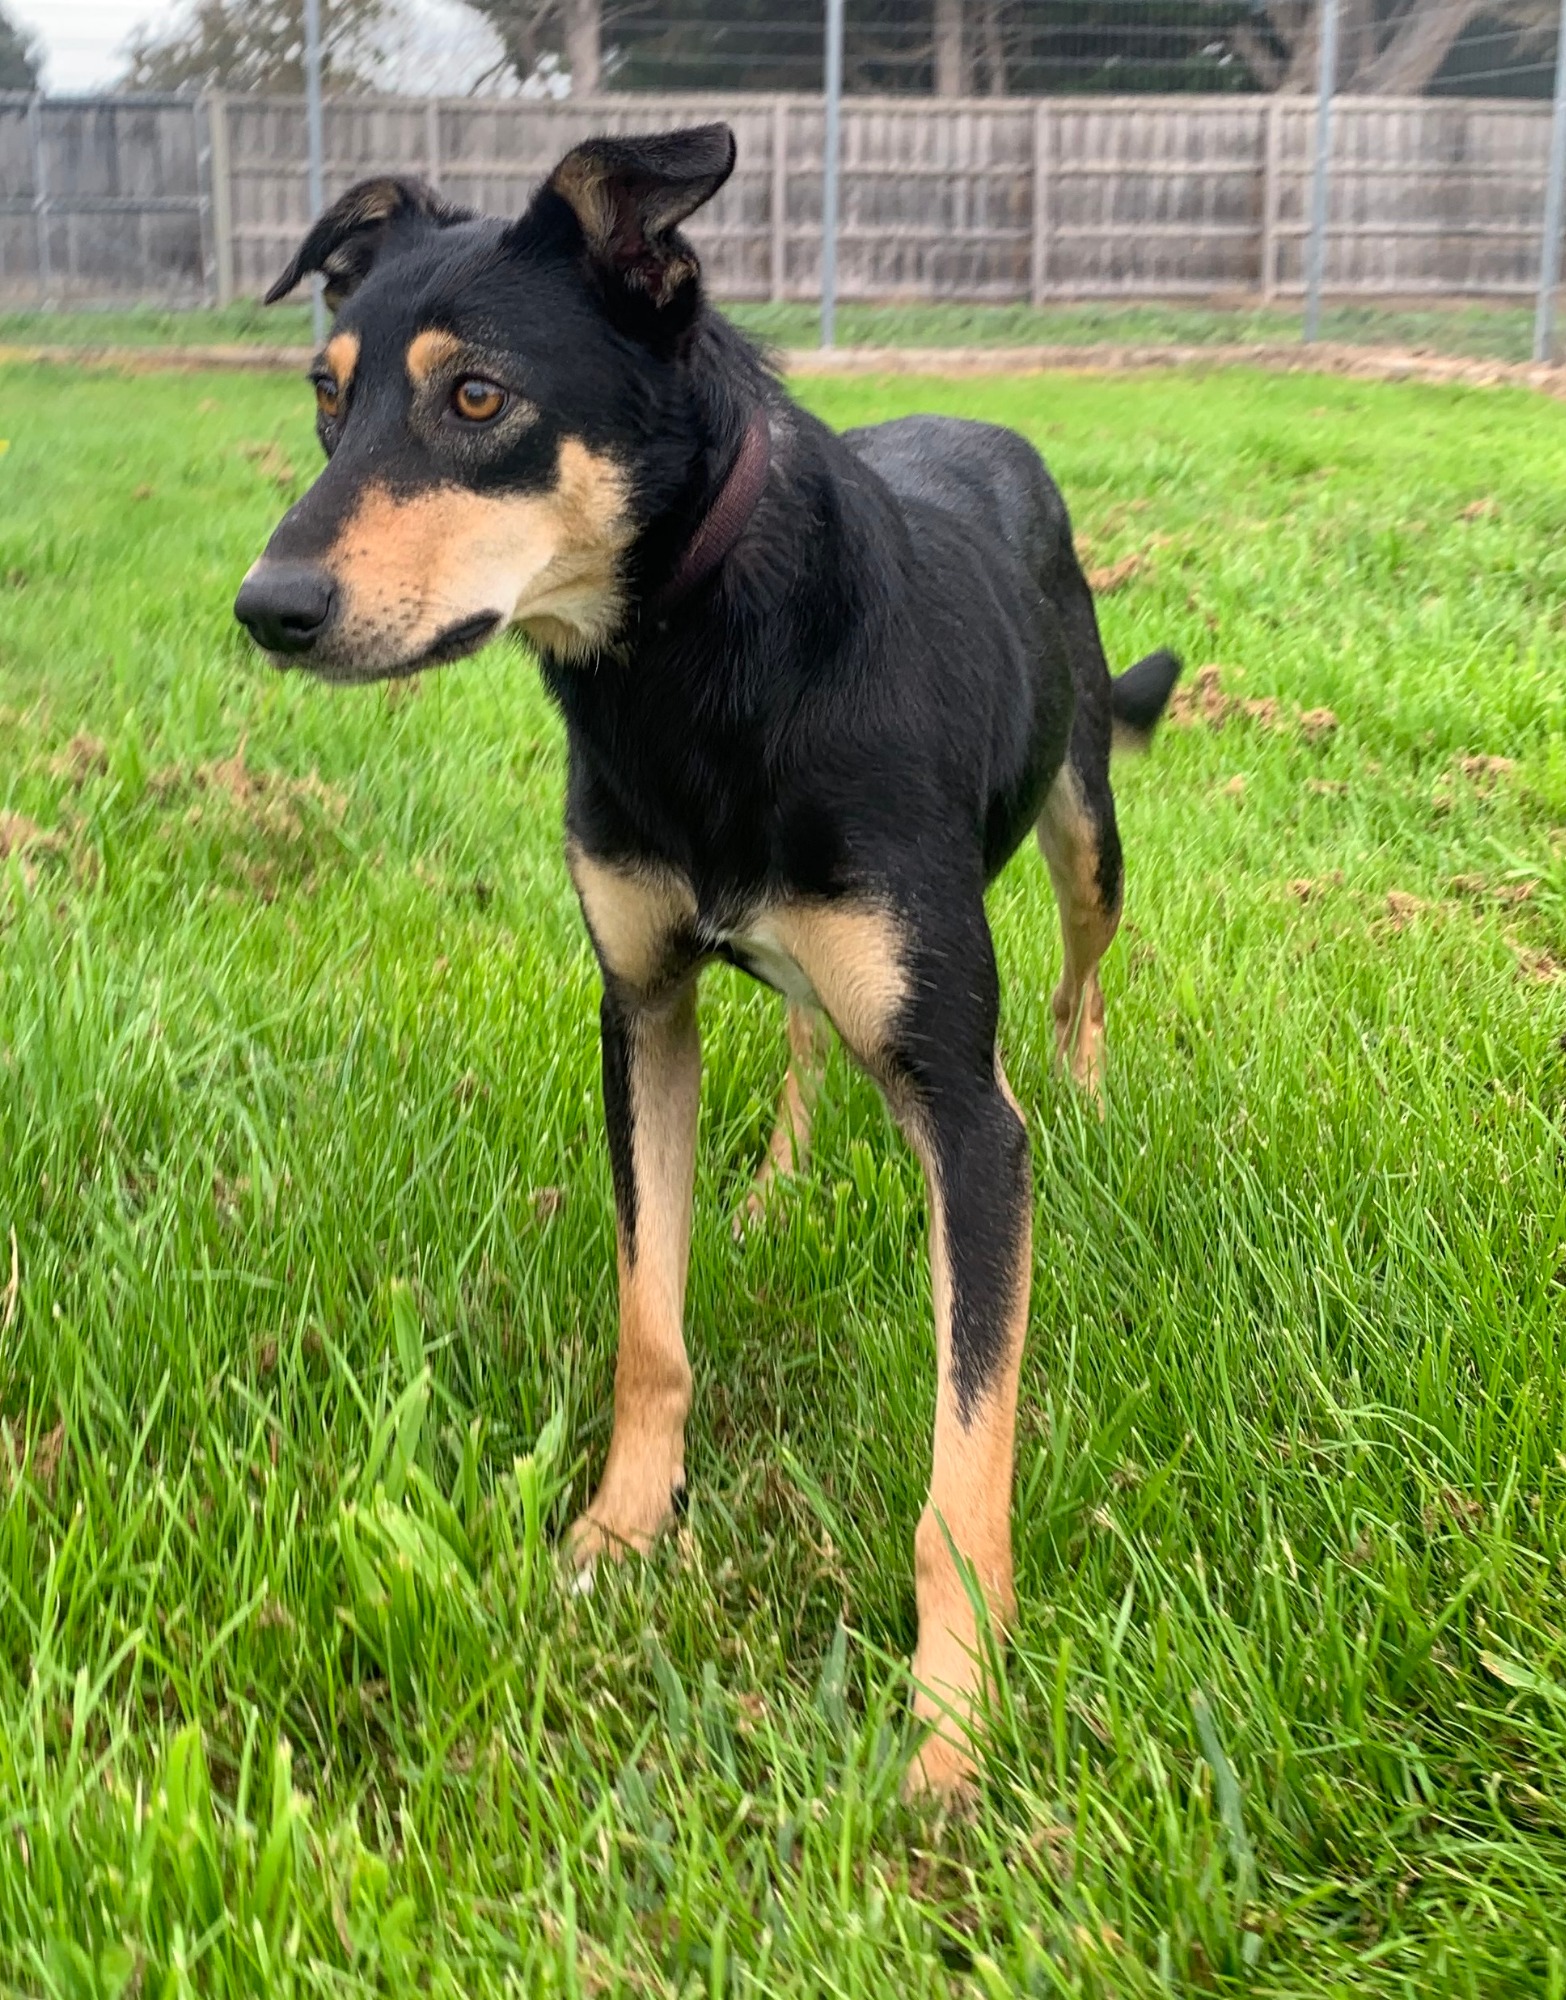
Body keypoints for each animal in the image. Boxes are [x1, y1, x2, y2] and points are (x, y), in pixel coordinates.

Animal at [236, 129, 1176, 1816]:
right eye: (326, 398)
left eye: (477, 398)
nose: (267, 609)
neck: (691, 659)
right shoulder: (642, 1014)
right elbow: (649, 1328)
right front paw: (618, 1533)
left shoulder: (965, 1108)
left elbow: (965, 1458)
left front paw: (951, 1721)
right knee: (805, 1031)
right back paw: (782, 1182)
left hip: (1083, 827)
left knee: (1080, 974)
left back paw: (1086, 1093)